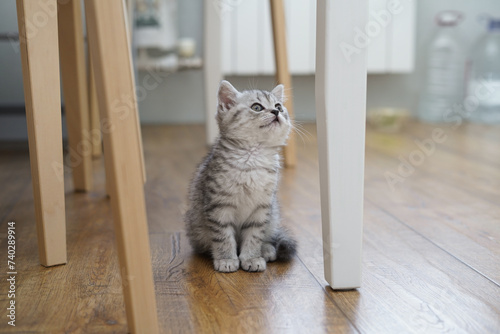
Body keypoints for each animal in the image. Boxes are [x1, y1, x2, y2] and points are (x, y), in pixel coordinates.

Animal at [187, 80, 296, 272]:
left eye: (279, 106)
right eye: (257, 107)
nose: (276, 112)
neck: (253, 158)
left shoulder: (262, 208)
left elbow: (255, 235)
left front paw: (251, 257)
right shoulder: (218, 207)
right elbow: (223, 236)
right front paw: (226, 259)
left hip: (273, 215)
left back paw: (266, 249)